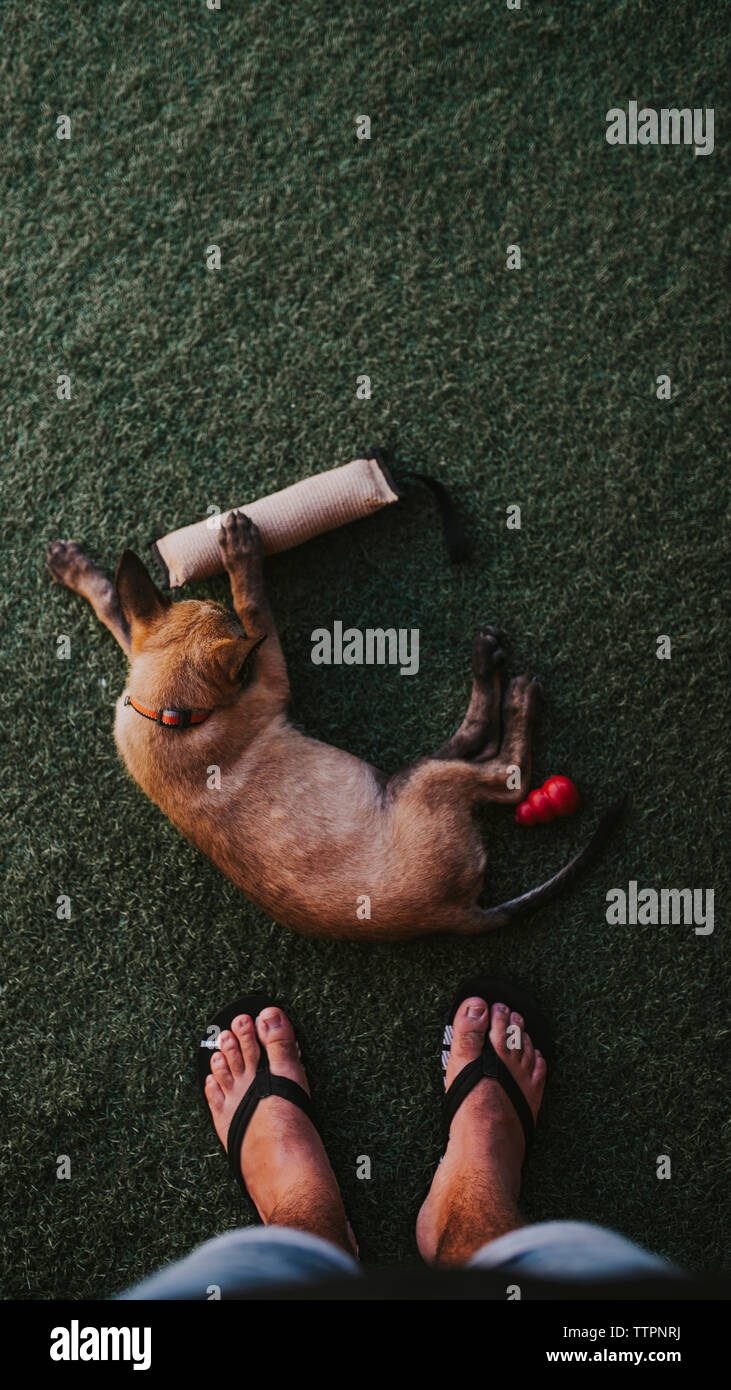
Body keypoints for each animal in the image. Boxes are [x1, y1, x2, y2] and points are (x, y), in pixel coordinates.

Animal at [45, 514, 622, 945]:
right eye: (243, 668)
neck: (169, 716)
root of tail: (458, 914)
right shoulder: (269, 674)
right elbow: (256, 609)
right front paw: (241, 556)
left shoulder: (139, 663)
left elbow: (120, 613)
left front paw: (77, 570)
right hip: (425, 786)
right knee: (506, 773)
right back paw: (510, 687)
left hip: (407, 780)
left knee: (469, 749)